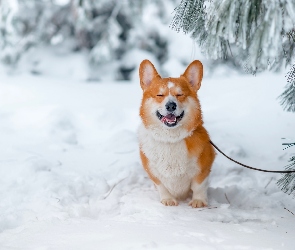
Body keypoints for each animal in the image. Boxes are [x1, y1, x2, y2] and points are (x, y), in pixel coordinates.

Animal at [138, 59, 216, 207]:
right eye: (160, 95)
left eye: (180, 95)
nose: (171, 105)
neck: (170, 139)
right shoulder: (152, 171)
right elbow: (161, 186)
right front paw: (168, 200)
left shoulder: (203, 168)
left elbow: (199, 186)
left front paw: (198, 201)